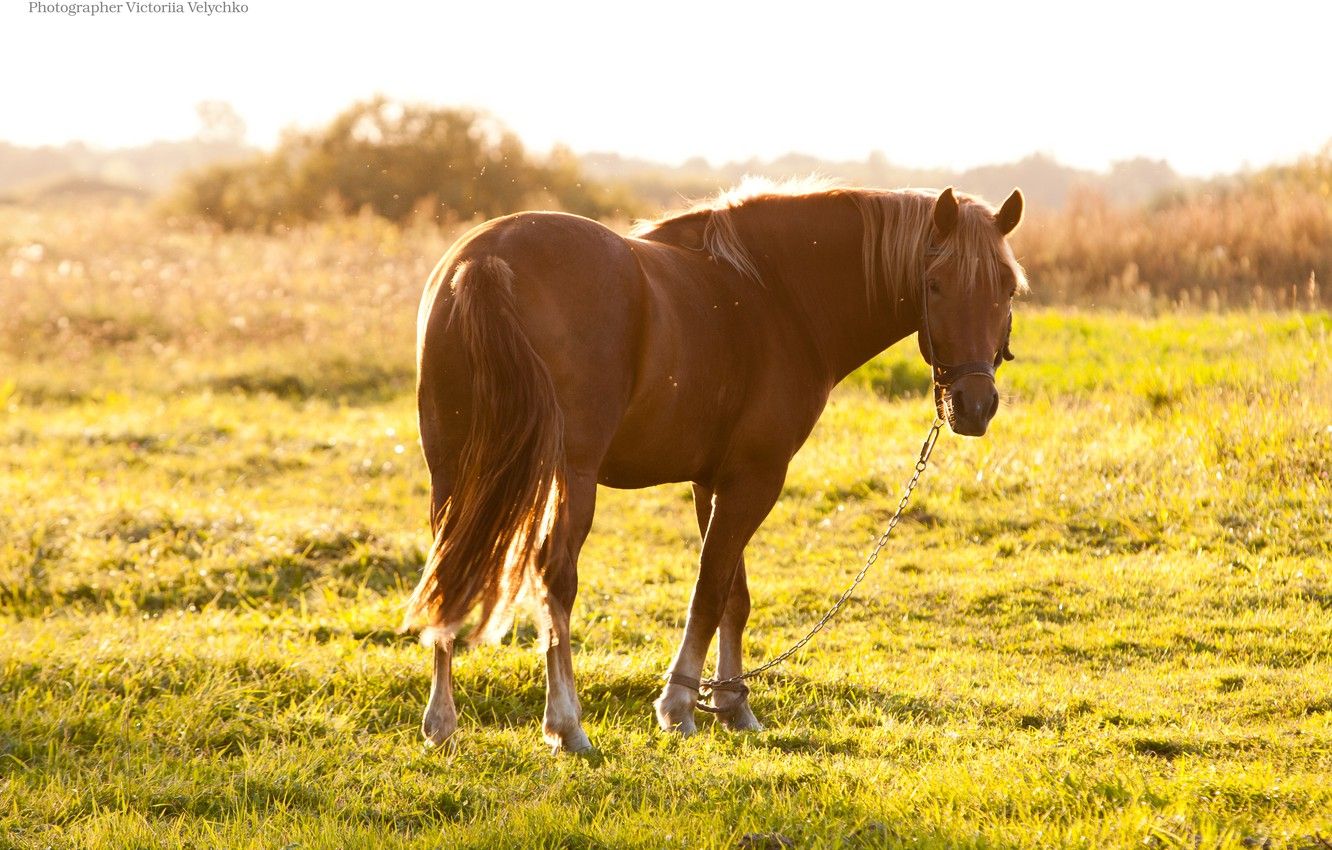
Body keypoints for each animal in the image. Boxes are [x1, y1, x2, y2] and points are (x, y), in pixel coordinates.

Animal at [402, 180, 1027, 752]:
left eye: (1006, 287)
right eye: (935, 284)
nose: (974, 405)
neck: (775, 295)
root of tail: (485, 262)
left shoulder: (714, 481)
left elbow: (733, 595)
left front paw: (731, 704)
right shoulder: (756, 478)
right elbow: (709, 588)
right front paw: (680, 705)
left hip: (452, 472)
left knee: (449, 569)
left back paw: (442, 723)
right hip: (569, 476)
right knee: (555, 580)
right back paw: (566, 724)